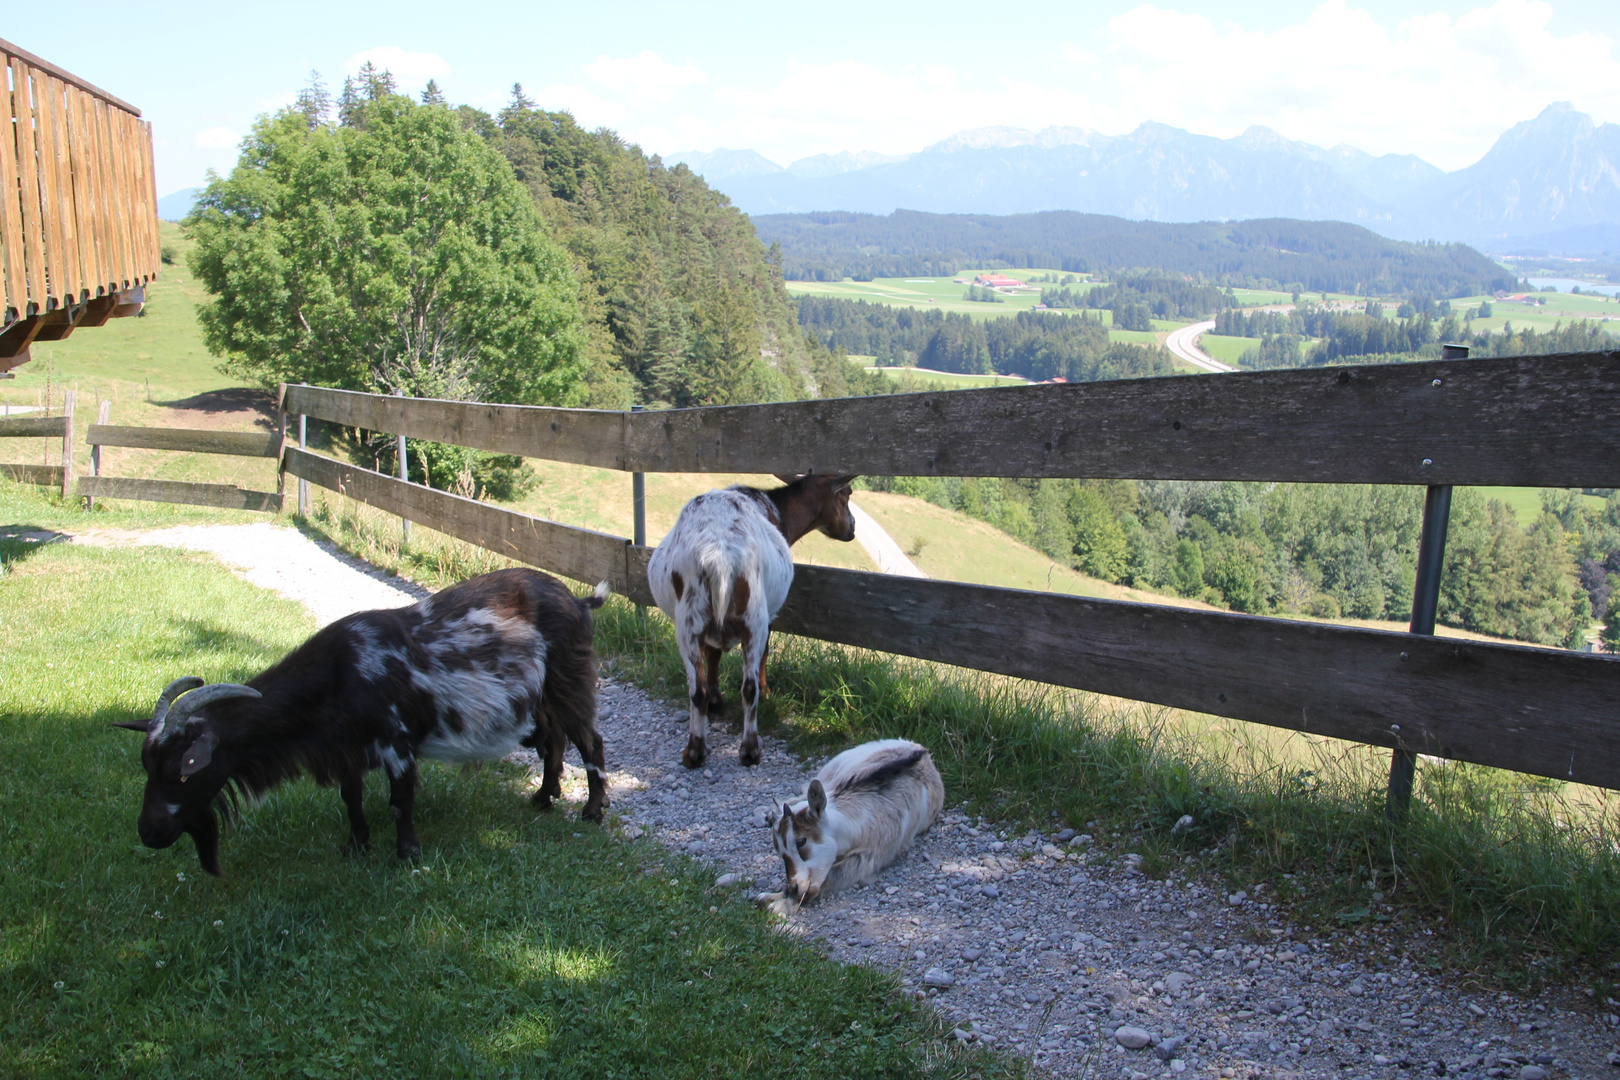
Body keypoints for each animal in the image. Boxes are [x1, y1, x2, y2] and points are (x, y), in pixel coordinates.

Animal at [112, 569, 609, 874]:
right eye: (147, 767)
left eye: (182, 770)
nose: (148, 832)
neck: (339, 674)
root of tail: (578, 600)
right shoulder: (346, 748)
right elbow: (351, 799)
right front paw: (356, 846)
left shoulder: (398, 741)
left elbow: (400, 801)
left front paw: (406, 855)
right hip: (538, 698)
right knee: (553, 740)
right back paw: (544, 797)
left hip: (568, 679)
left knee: (589, 741)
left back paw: (591, 810)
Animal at [651, 472, 861, 767]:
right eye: (847, 495)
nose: (852, 529)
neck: (780, 511)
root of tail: (718, 553)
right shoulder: (770, 615)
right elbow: (765, 653)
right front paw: (766, 690)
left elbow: (713, 654)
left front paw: (716, 700)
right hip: (754, 614)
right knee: (749, 686)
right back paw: (750, 750)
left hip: (688, 619)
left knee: (697, 689)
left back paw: (694, 751)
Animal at [761, 738, 946, 919]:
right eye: (780, 853)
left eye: (801, 841)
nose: (795, 888)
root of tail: (919, 748)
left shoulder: (871, 857)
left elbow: (834, 874)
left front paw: (780, 903)